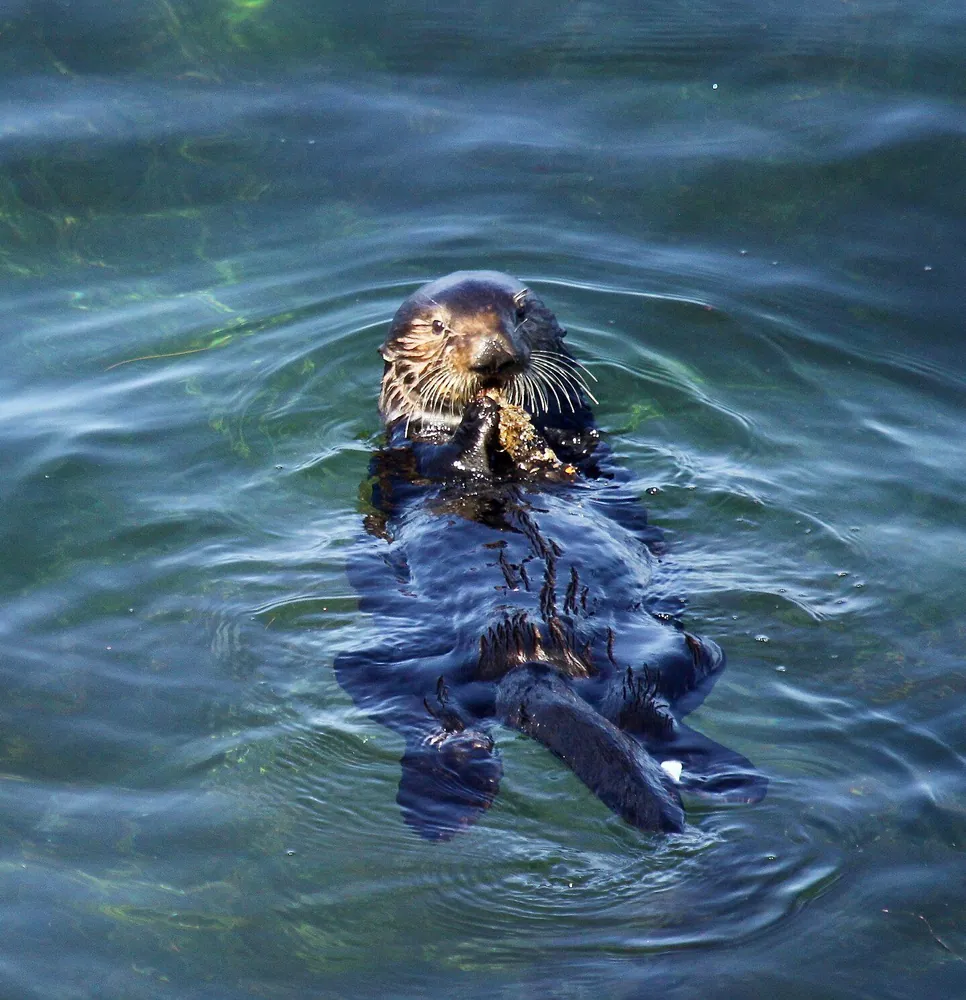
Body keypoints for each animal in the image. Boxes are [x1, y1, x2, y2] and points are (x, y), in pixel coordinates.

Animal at [335, 271, 766, 840]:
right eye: (439, 327)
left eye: (517, 316)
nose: (492, 356)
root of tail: (534, 654)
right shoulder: (406, 456)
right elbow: (443, 463)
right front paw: (479, 420)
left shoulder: (584, 445)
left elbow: (570, 454)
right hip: (384, 671)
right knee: (442, 724)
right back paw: (442, 803)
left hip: (670, 652)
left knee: (645, 712)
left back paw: (723, 777)